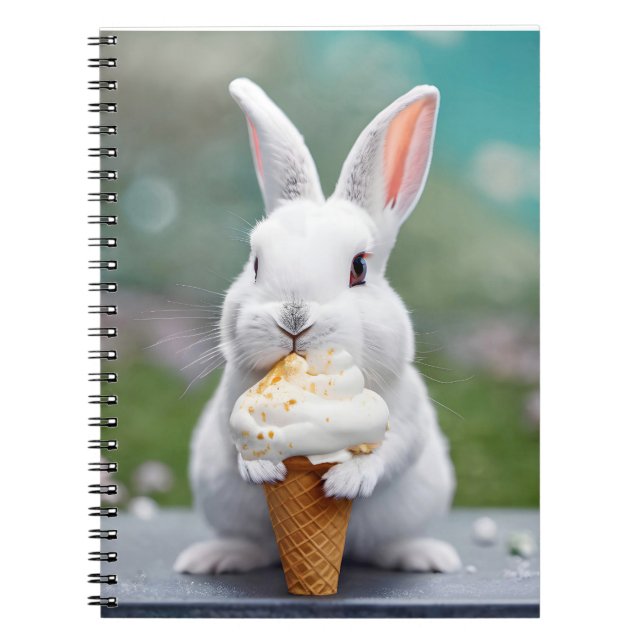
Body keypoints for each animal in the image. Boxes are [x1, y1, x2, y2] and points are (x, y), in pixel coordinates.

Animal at [174, 78, 461, 575]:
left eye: (359, 268)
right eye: (255, 264)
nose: (294, 319)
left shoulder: (407, 416)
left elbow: (393, 450)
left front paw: (348, 481)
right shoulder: (230, 406)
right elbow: (237, 442)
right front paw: (261, 467)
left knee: (388, 545)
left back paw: (426, 556)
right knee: (255, 547)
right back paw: (213, 557)